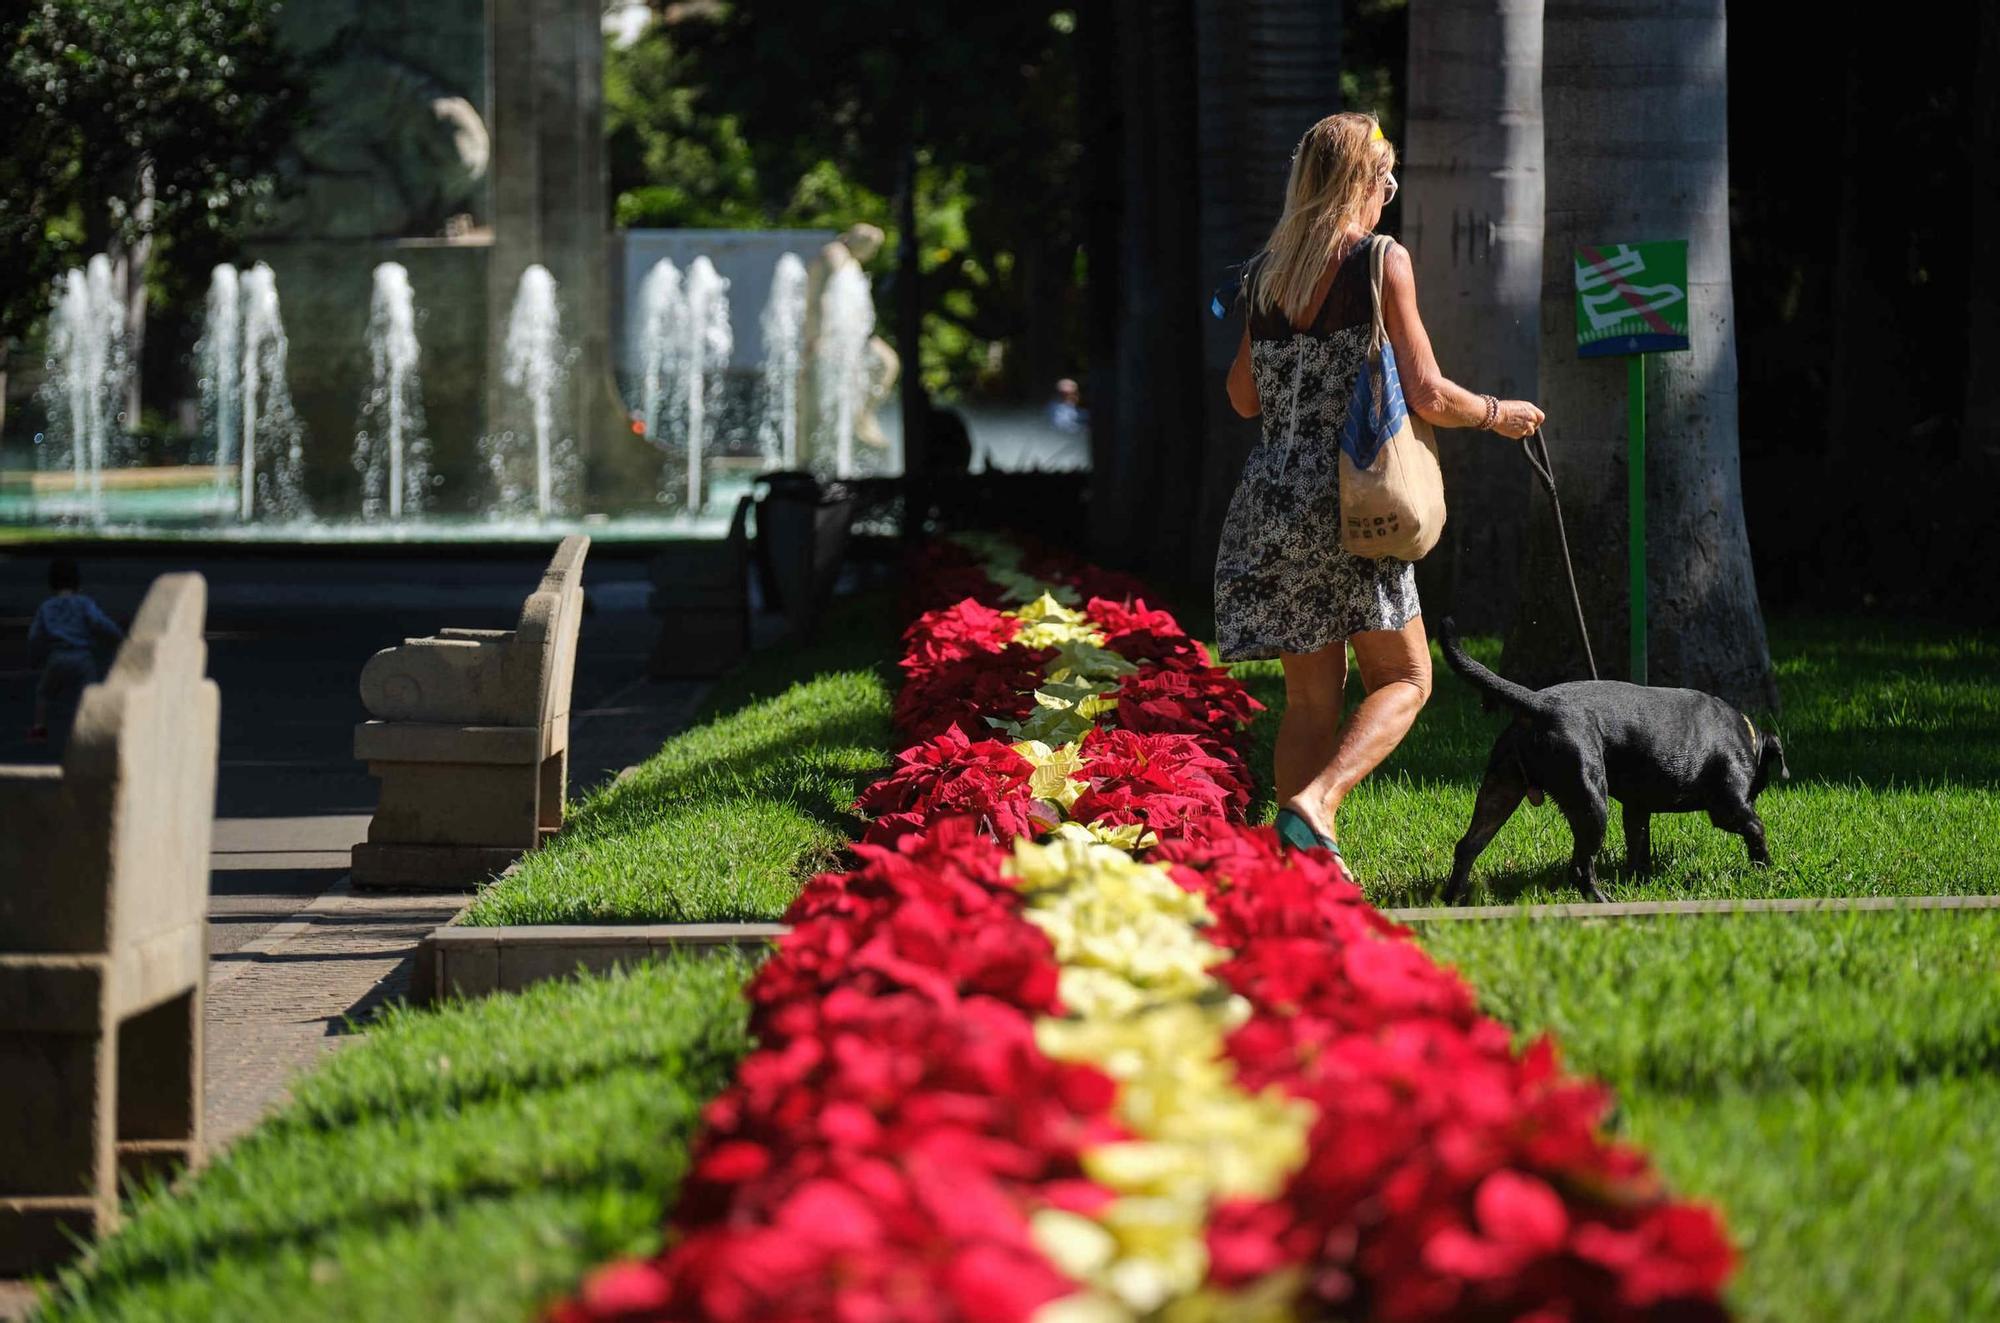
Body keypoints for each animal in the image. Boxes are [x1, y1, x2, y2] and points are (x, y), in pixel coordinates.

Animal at [1440, 623, 1800, 903]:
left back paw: (1451, 900)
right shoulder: (1727, 807)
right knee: (1580, 868)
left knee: (1467, 846)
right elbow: (1756, 828)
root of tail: (1537, 703)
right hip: (1590, 804)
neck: (1746, 736)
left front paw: (1639, 877)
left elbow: (1638, 846)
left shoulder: (1637, 810)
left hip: (1499, 791)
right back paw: (1602, 902)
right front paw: (1764, 867)